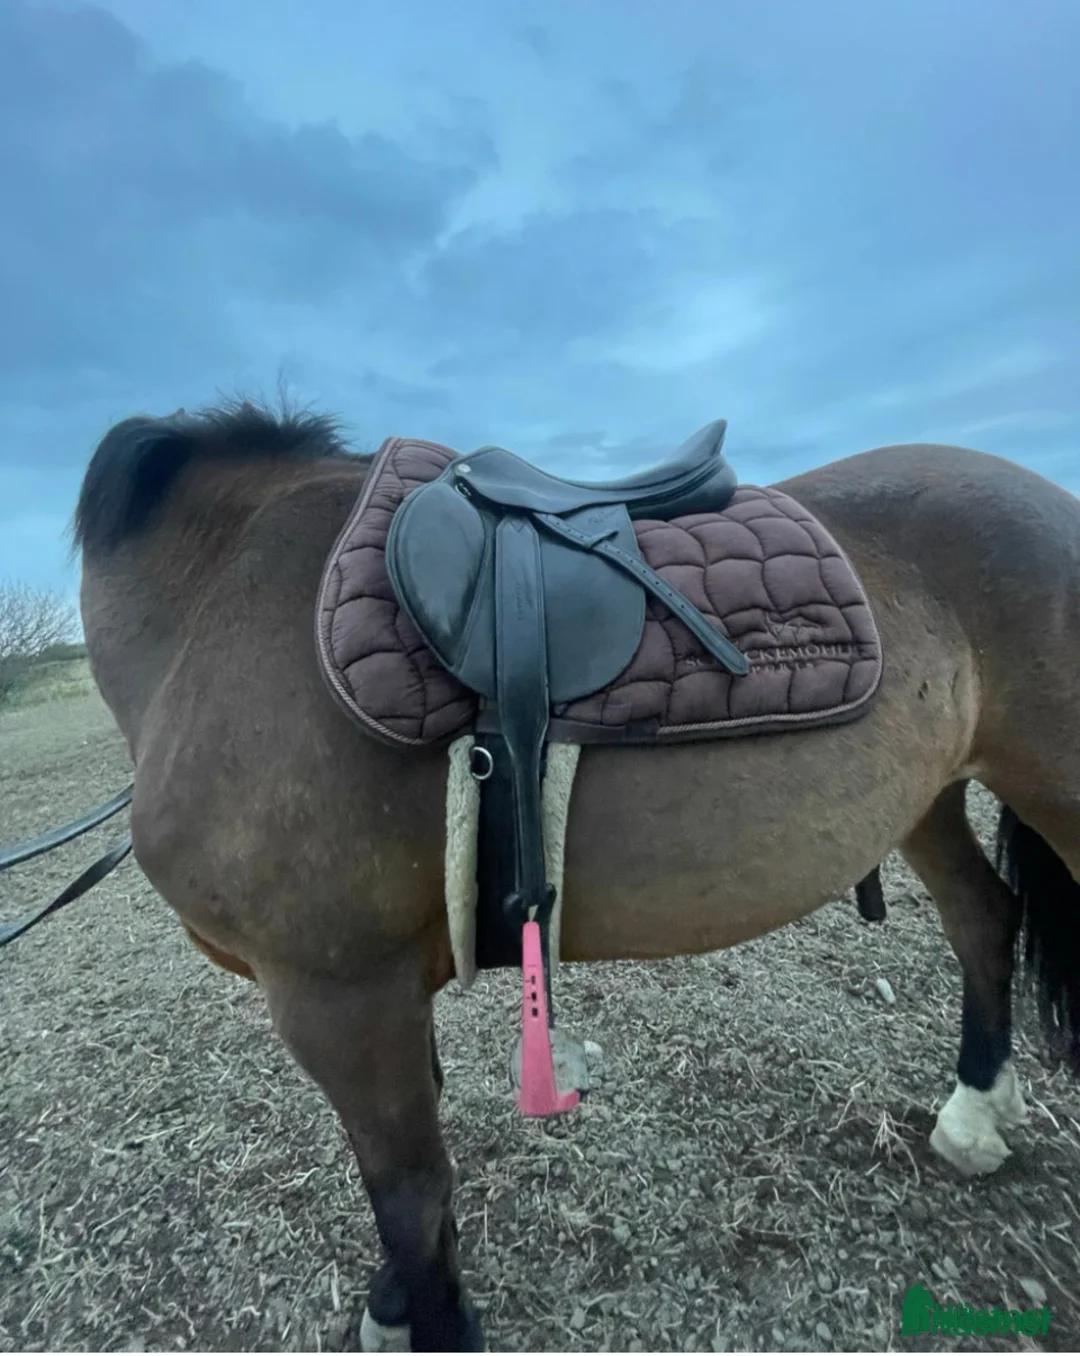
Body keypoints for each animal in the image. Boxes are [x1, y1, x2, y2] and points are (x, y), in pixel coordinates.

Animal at [70, 401, 1080, 1351]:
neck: (208, 607)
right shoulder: (382, 985)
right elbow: (415, 1167)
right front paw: (397, 1303)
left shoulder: (337, 993)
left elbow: (406, 1187)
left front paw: (437, 1325)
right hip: (929, 794)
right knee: (982, 919)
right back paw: (976, 1115)